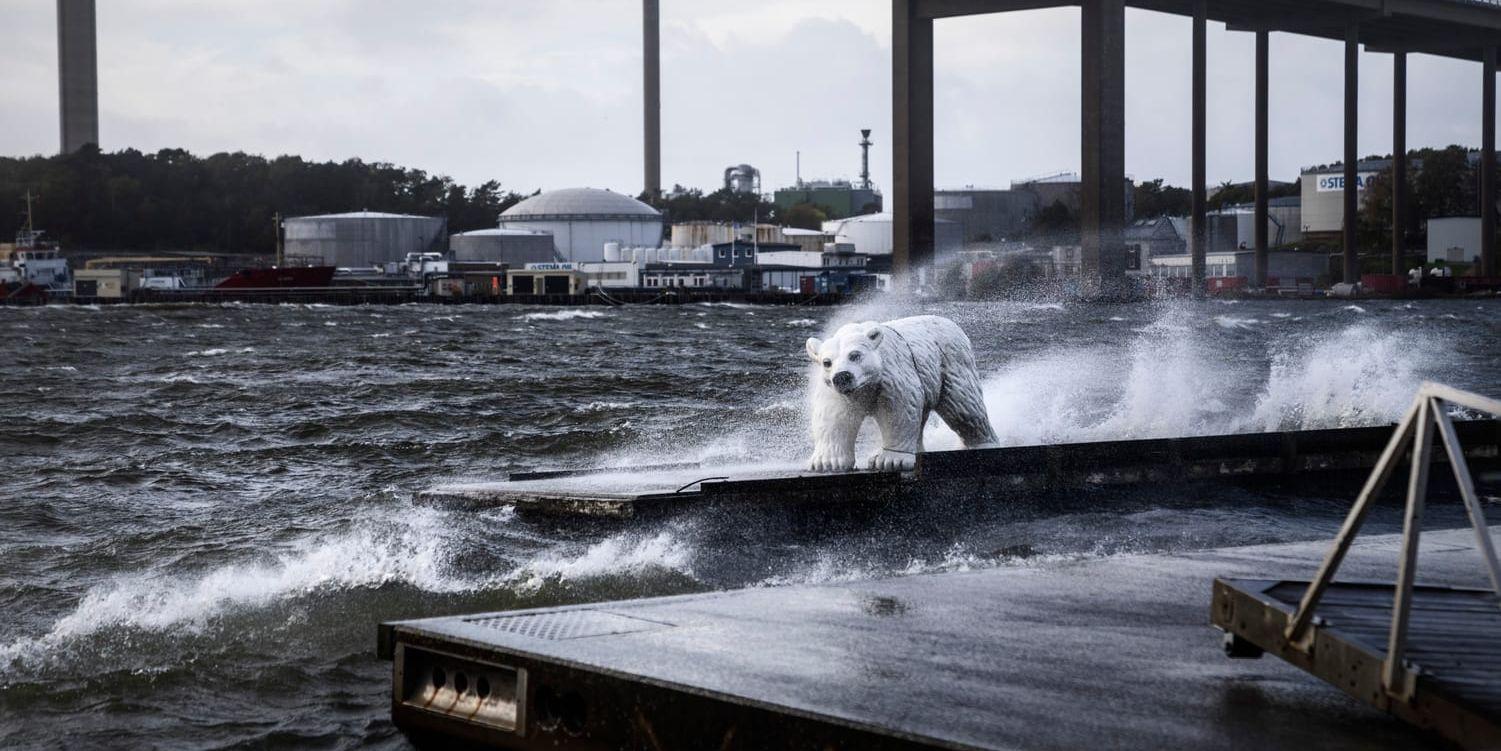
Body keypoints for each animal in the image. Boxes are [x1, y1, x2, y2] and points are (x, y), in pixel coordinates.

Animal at [804, 313, 1002, 471]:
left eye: (855, 355)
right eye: (827, 362)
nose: (842, 376)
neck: (866, 385)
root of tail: (951, 323)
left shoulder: (892, 376)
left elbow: (898, 410)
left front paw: (891, 460)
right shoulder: (836, 391)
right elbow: (834, 416)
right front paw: (828, 462)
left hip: (951, 364)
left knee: (964, 407)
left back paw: (983, 445)